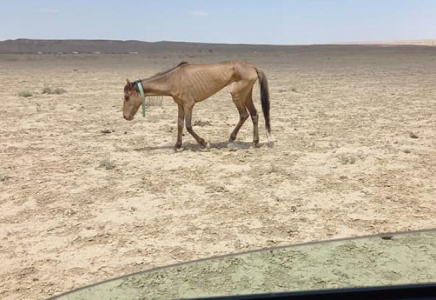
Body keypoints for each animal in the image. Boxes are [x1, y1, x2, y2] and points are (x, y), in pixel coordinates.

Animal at [122, 61, 270, 150]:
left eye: (127, 97)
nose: (125, 116)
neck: (174, 79)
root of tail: (253, 67)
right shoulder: (180, 105)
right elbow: (180, 124)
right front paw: (178, 145)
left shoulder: (189, 105)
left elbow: (188, 126)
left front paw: (204, 142)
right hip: (246, 95)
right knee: (254, 114)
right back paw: (254, 142)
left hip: (237, 95)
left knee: (244, 114)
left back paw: (233, 139)